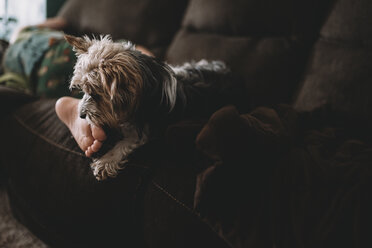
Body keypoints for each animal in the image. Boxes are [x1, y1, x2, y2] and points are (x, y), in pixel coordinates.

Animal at [64, 34, 244, 180]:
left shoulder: (143, 128)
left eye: (95, 94)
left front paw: (106, 161)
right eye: (83, 90)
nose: (81, 115)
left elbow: (124, 143)